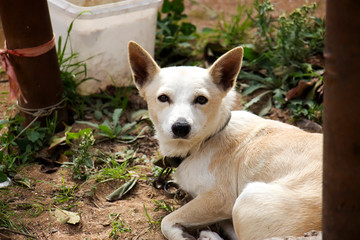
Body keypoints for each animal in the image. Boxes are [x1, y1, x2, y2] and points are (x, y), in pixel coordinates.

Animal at [128, 41, 322, 240]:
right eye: (163, 98)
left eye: (201, 99)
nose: (180, 127)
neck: (204, 142)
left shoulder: (219, 198)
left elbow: (166, 221)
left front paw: (182, 234)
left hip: (247, 199)